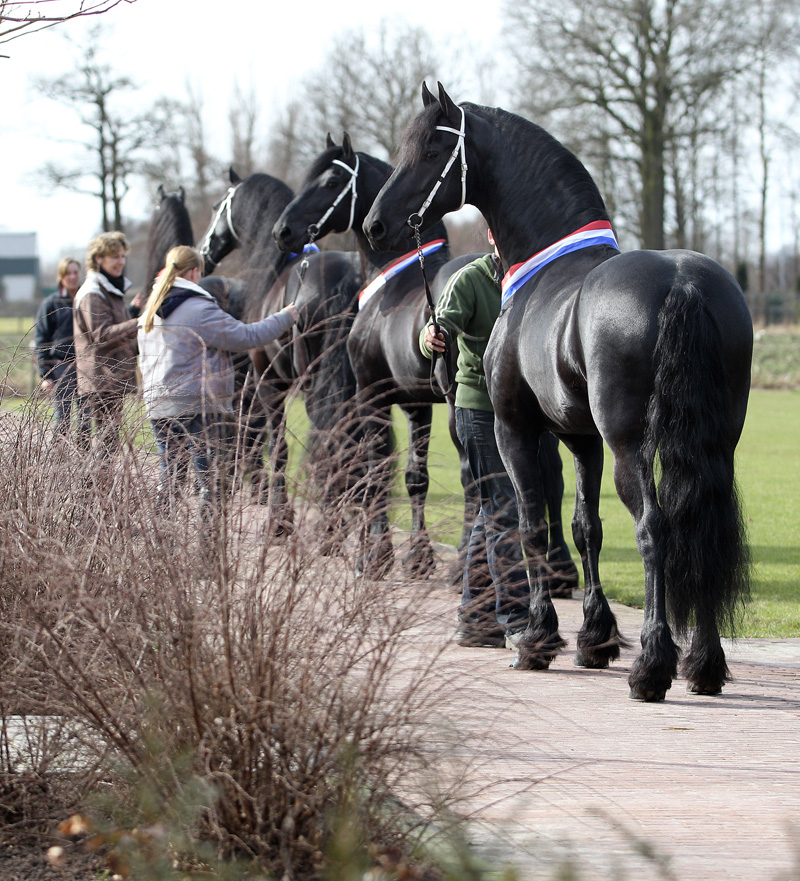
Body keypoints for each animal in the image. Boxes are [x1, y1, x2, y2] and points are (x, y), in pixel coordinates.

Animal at [366, 82, 752, 700]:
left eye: (431, 150)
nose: (377, 225)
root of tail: (683, 284)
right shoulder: (580, 438)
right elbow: (584, 527)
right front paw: (595, 638)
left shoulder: (516, 429)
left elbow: (531, 528)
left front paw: (537, 639)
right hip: (715, 444)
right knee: (702, 528)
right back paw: (704, 666)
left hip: (630, 445)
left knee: (655, 529)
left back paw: (652, 666)